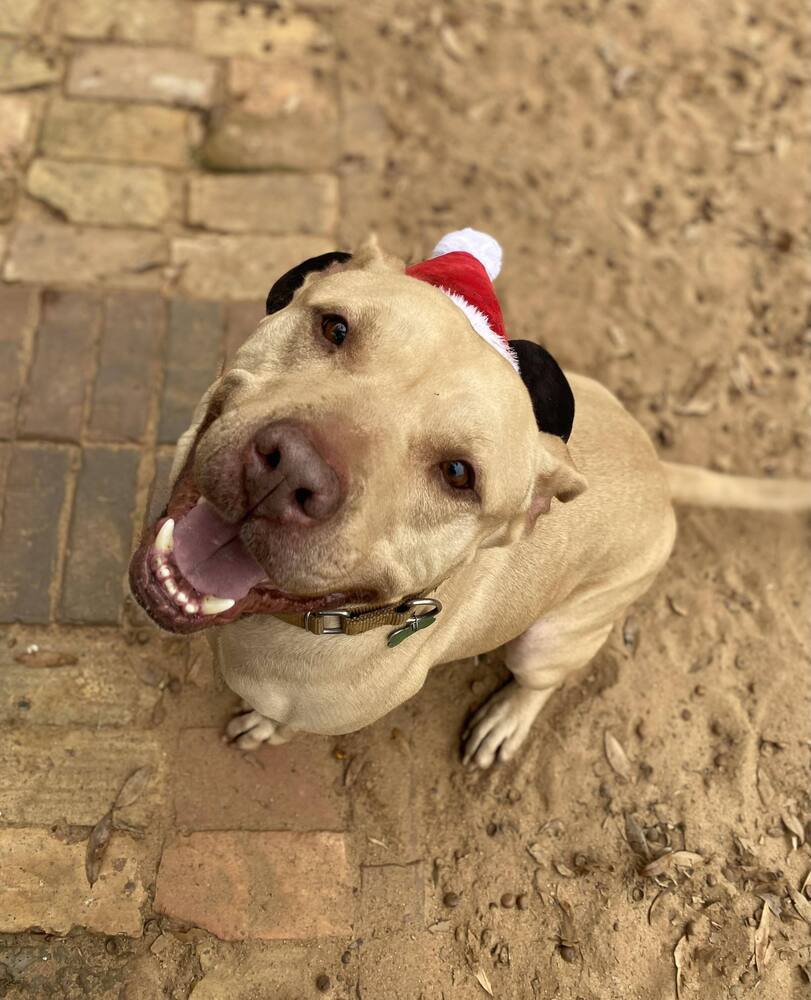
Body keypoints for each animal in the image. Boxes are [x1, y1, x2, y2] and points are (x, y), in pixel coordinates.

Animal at [130, 230, 808, 768]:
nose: (292, 470)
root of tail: (660, 470)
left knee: (541, 681)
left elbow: (279, 721)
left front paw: (264, 726)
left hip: (551, 638)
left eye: (459, 474)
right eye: (335, 327)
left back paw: (505, 720)